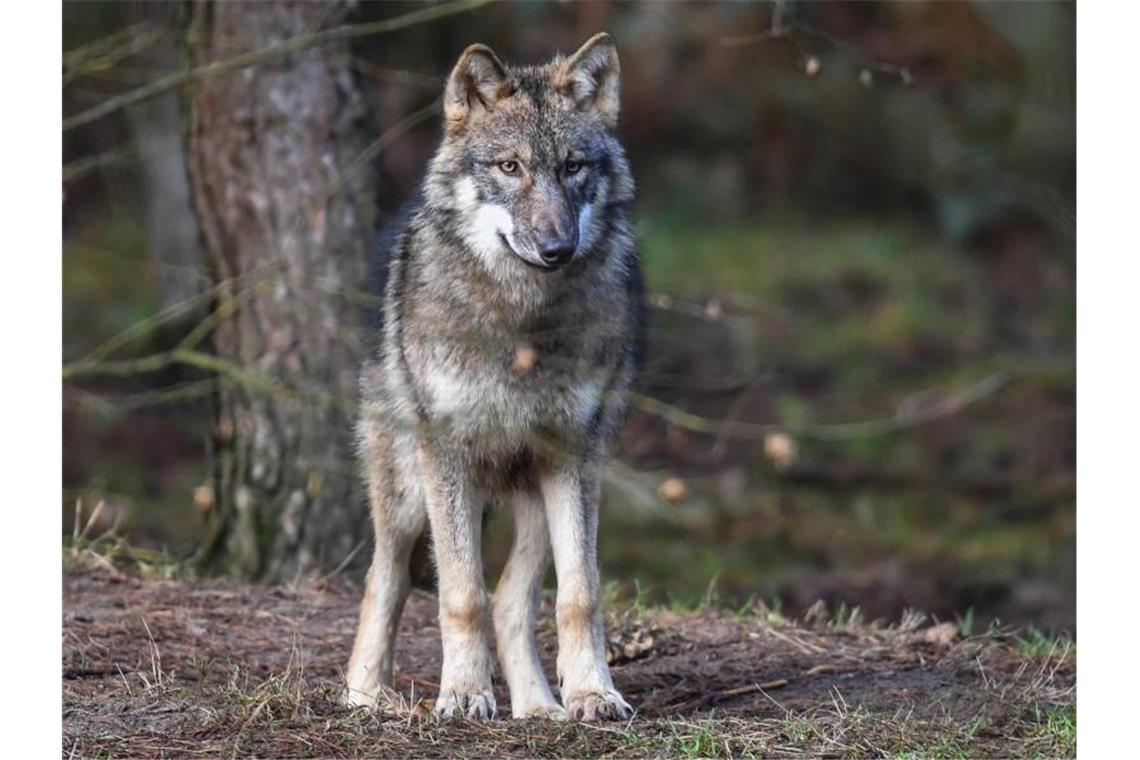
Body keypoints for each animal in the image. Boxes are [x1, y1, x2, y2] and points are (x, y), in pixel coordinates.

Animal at [342, 34, 647, 724]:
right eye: (509, 167)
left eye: (572, 167)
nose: (557, 247)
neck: (522, 322)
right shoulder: (446, 452)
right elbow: (460, 595)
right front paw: (462, 693)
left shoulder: (575, 454)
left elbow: (580, 595)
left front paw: (593, 693)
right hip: (408, 490)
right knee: (386, 577)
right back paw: (365, 694)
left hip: (536, 491)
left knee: (513, 600)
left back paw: (538, 707)